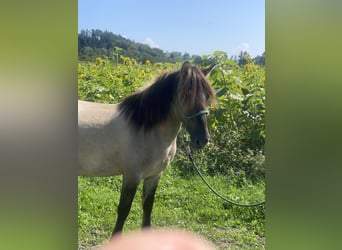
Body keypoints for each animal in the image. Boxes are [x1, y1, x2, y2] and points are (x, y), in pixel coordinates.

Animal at [79, 61, 215, 235]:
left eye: (207, 96)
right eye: (186, 95)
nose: (202, 140)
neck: (146, 128)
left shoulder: (154, 175)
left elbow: (147, 206)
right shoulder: (132, 176)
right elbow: (124, 209)